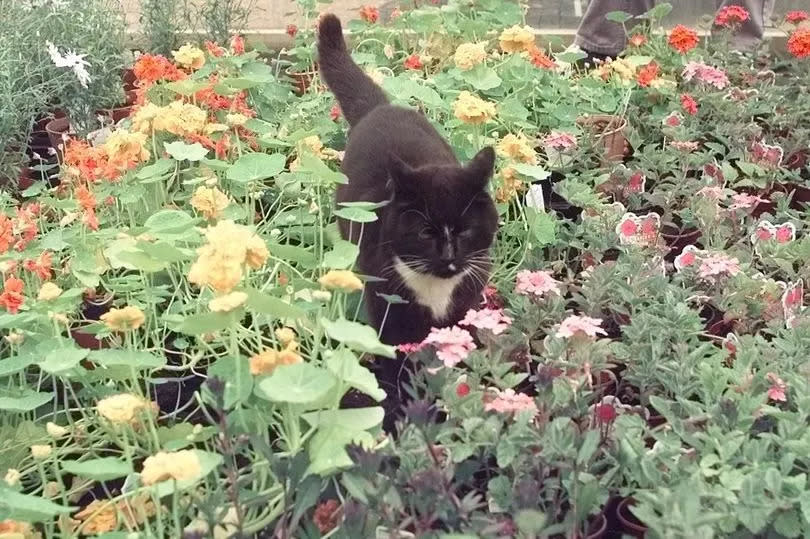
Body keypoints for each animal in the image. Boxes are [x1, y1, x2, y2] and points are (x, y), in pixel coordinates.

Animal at [318, 13, 498, 404]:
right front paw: (404, 403)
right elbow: (396, 364)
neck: (435, 291)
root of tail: (381, 107)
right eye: (425, 232)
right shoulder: (389, 311)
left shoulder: (464, 306)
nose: (449, 258)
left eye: (466, 230)